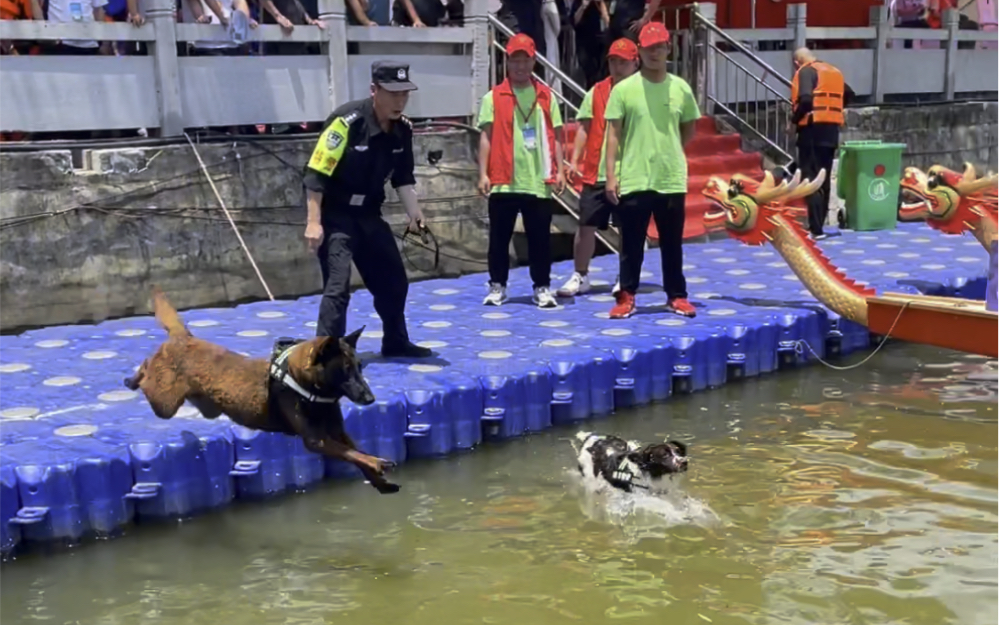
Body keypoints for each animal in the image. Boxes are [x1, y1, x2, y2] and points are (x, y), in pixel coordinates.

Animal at [126, 286, 402, 494]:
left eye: (360, 367)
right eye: (344, 370)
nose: (370, 398)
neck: (305, 384)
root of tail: (183, 337)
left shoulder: (337, 431)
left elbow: (356, 452)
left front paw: (379, 481)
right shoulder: (316, 440)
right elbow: (352, 454)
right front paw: (379, 463)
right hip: (165, 403)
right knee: (147, 371)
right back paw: (133, 378)